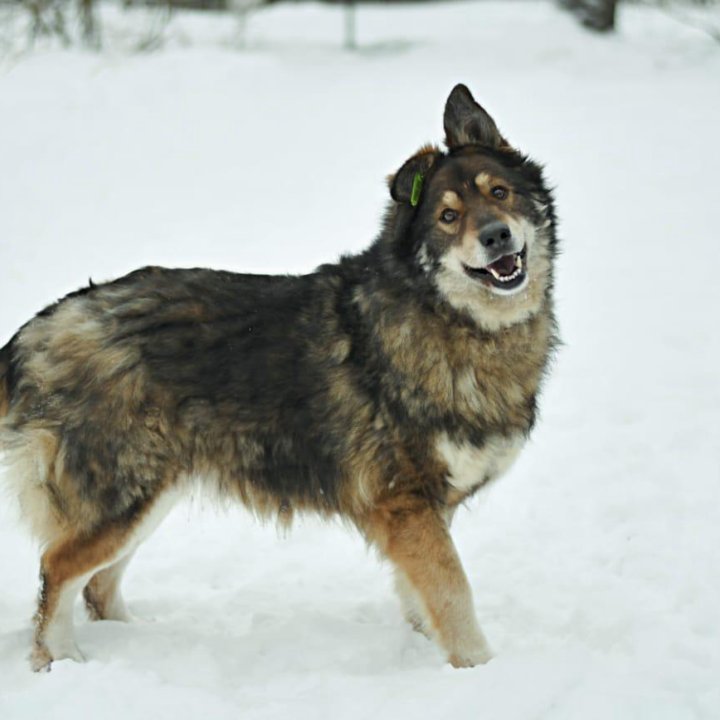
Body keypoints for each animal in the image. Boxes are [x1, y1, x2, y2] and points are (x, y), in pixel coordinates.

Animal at [0, 86, 556, 676]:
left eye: (499, 192)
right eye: (449, 216)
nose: (496, 236)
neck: (446, 317)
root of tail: (39, 326)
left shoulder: (426, 511)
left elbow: (420, 596)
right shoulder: (407, 504)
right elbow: (453, 593)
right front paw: (479, 669)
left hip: (149, 497)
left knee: (98, 585)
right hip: (122, 499)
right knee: (57, 568)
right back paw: (60, 661)